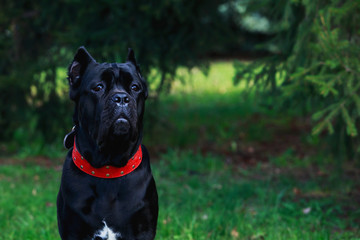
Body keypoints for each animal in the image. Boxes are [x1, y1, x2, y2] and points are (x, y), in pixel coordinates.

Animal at [57, 47, 158, 240]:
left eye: (135, 87)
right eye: (98, 87)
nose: (121, 98)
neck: (108, 168)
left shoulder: (143, 229)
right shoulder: (73, 230)